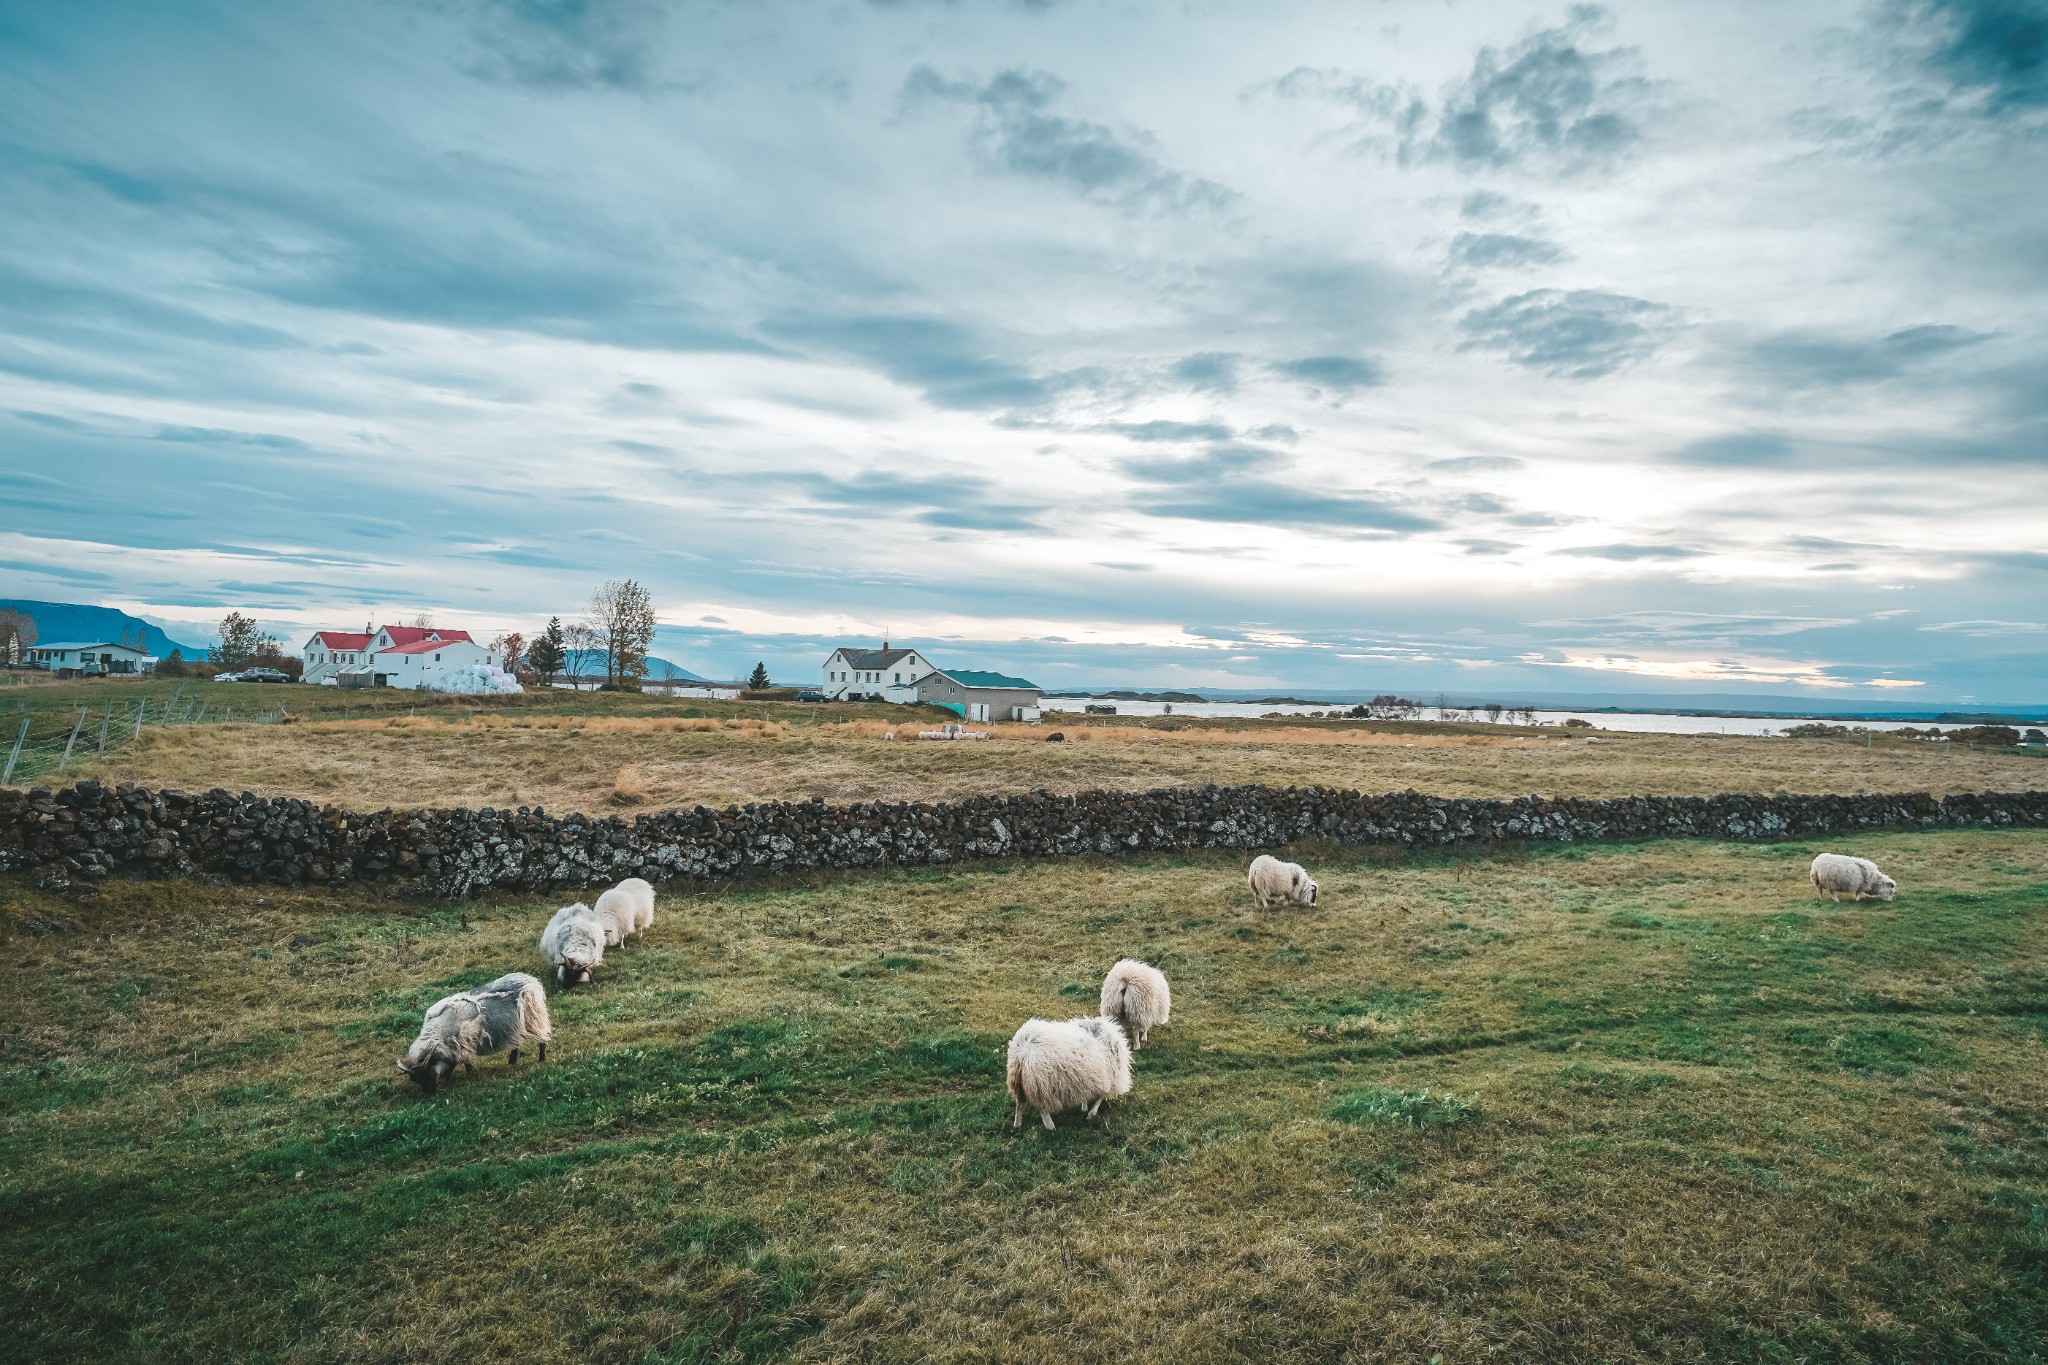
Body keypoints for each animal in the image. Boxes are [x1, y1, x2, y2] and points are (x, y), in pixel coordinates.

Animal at [393, 965, 548, 1096]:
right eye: (415, 1080)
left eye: (428, 1073)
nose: (430, 1093)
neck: (439, 1032)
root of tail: (531, 979)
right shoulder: (454, 1048)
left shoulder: (464, 1043)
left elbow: (464, 1061)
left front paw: (469, 1073)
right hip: (515, 1026)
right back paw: (512, 1061)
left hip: (535, 1017)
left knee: (542, 1040)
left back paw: (542, 1059)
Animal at [1007, 1015, 1138, 1129]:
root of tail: (1023, 1052)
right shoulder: (1109, 1076)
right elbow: (1101, 1096)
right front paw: (1091, 1113)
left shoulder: (1088, 1077)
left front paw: (1084, 1108)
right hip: (1041, 1083)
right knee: (1042, 1109)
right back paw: (1050, 1127)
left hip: (1018, 1081)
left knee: (1020, 1103)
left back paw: (1017, 1124)